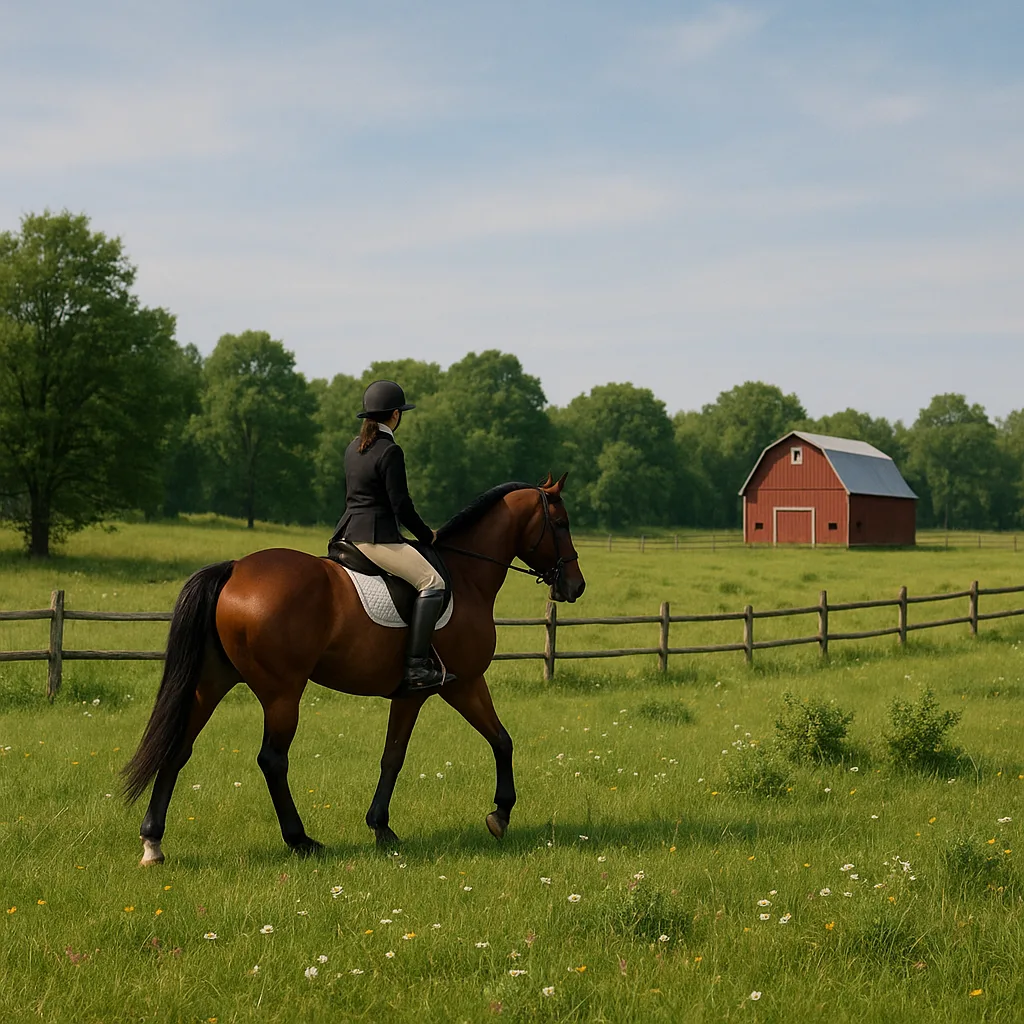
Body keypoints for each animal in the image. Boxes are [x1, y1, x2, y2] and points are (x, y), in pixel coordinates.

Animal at [122, 474, 585, 865]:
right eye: (561, 523)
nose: (576, 586)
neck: (467, 576)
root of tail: (235, 568)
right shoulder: (452, 685)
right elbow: (429, 751)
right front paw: (496, 814)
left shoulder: (442, 688)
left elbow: (470, 744)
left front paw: (389, 826)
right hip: (282, 692)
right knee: (272, 759)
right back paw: (301, 841)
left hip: (212, 681)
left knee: (179, 748)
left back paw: (153, 842)